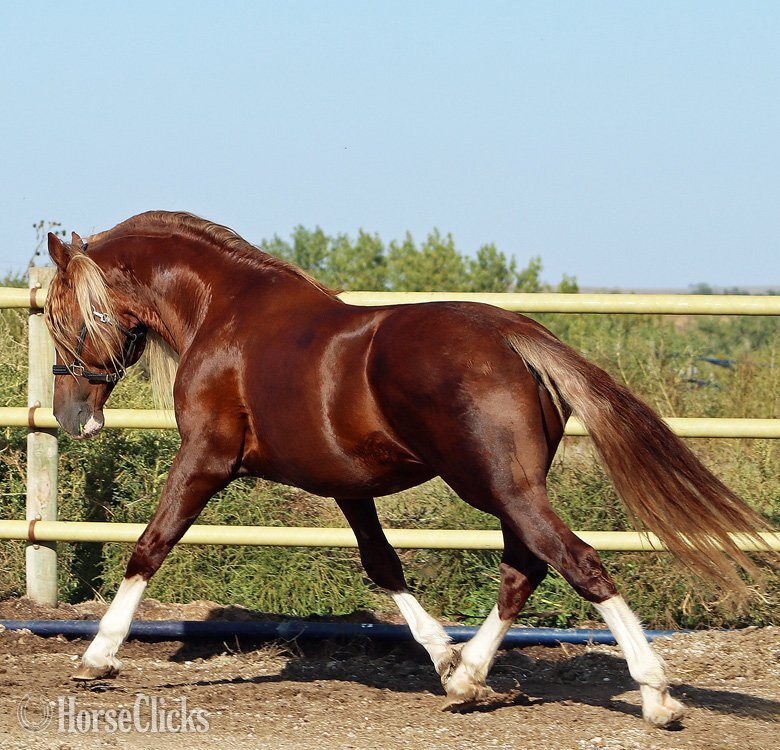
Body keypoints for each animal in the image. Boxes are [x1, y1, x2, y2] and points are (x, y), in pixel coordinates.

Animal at [43, 211, 771, 728]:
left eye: (59, 313)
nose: (72, 416)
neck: (223, 313)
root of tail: (512, 333)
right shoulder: (348, 486)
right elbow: (384, 566)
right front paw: (443, 659)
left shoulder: (206, 457)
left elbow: (150, 545)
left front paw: (96, 658)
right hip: (505, 486)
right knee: (526, 568)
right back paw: (470, 681)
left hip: (495, 484)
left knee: (574, 561)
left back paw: (656, 697)